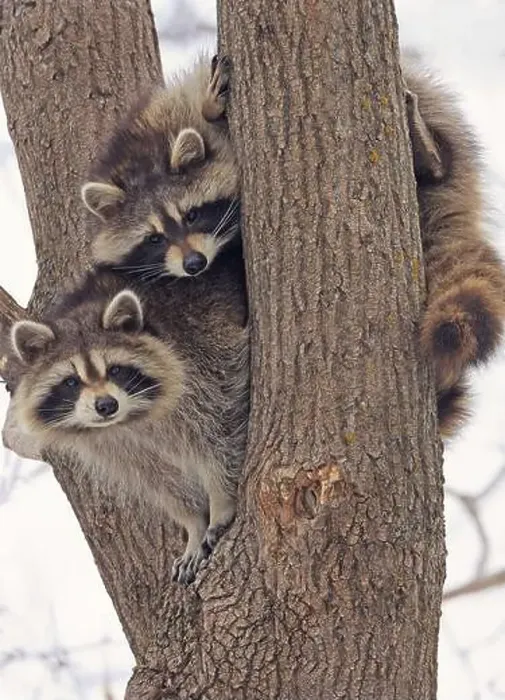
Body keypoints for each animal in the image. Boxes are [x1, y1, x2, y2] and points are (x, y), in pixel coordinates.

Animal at [8, 248, 248, 585]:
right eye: (71, 382)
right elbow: (161, 481)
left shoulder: (205, 358)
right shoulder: (115, 443)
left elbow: (221, 432)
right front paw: (194, 524)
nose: (106, 405)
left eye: (115, 370)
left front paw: (220, 503)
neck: (133, 418)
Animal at [81, 55, 505, 437]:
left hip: (434, 115)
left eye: (192, 215)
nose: (194, 263)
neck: (140, 157)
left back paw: (429, 152)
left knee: (441, 153)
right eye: (154, 239)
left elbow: (205, 111)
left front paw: (211, 107)